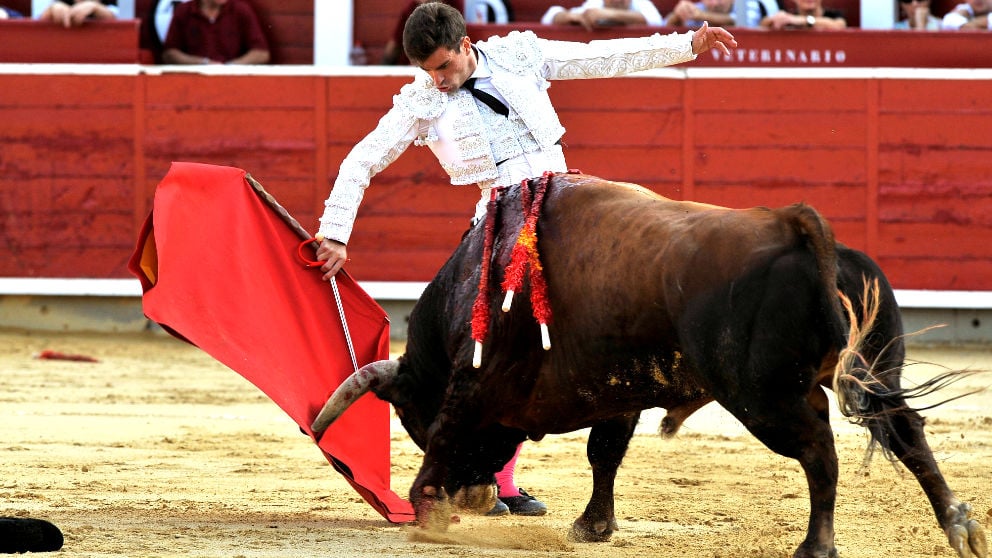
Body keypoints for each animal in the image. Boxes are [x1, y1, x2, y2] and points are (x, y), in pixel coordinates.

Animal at [308, 174, 984, 558]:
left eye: (411, 419)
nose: (475, 495)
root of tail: (797, 227)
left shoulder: (473, 384)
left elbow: (454, 431)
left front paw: (426, 512)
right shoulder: (620, 389)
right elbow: (604, 452)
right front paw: (593, 527)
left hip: (766, 398)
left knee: (820, 451)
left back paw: (816, 546)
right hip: (875, 370)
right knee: (904, 430)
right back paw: (960, 527)